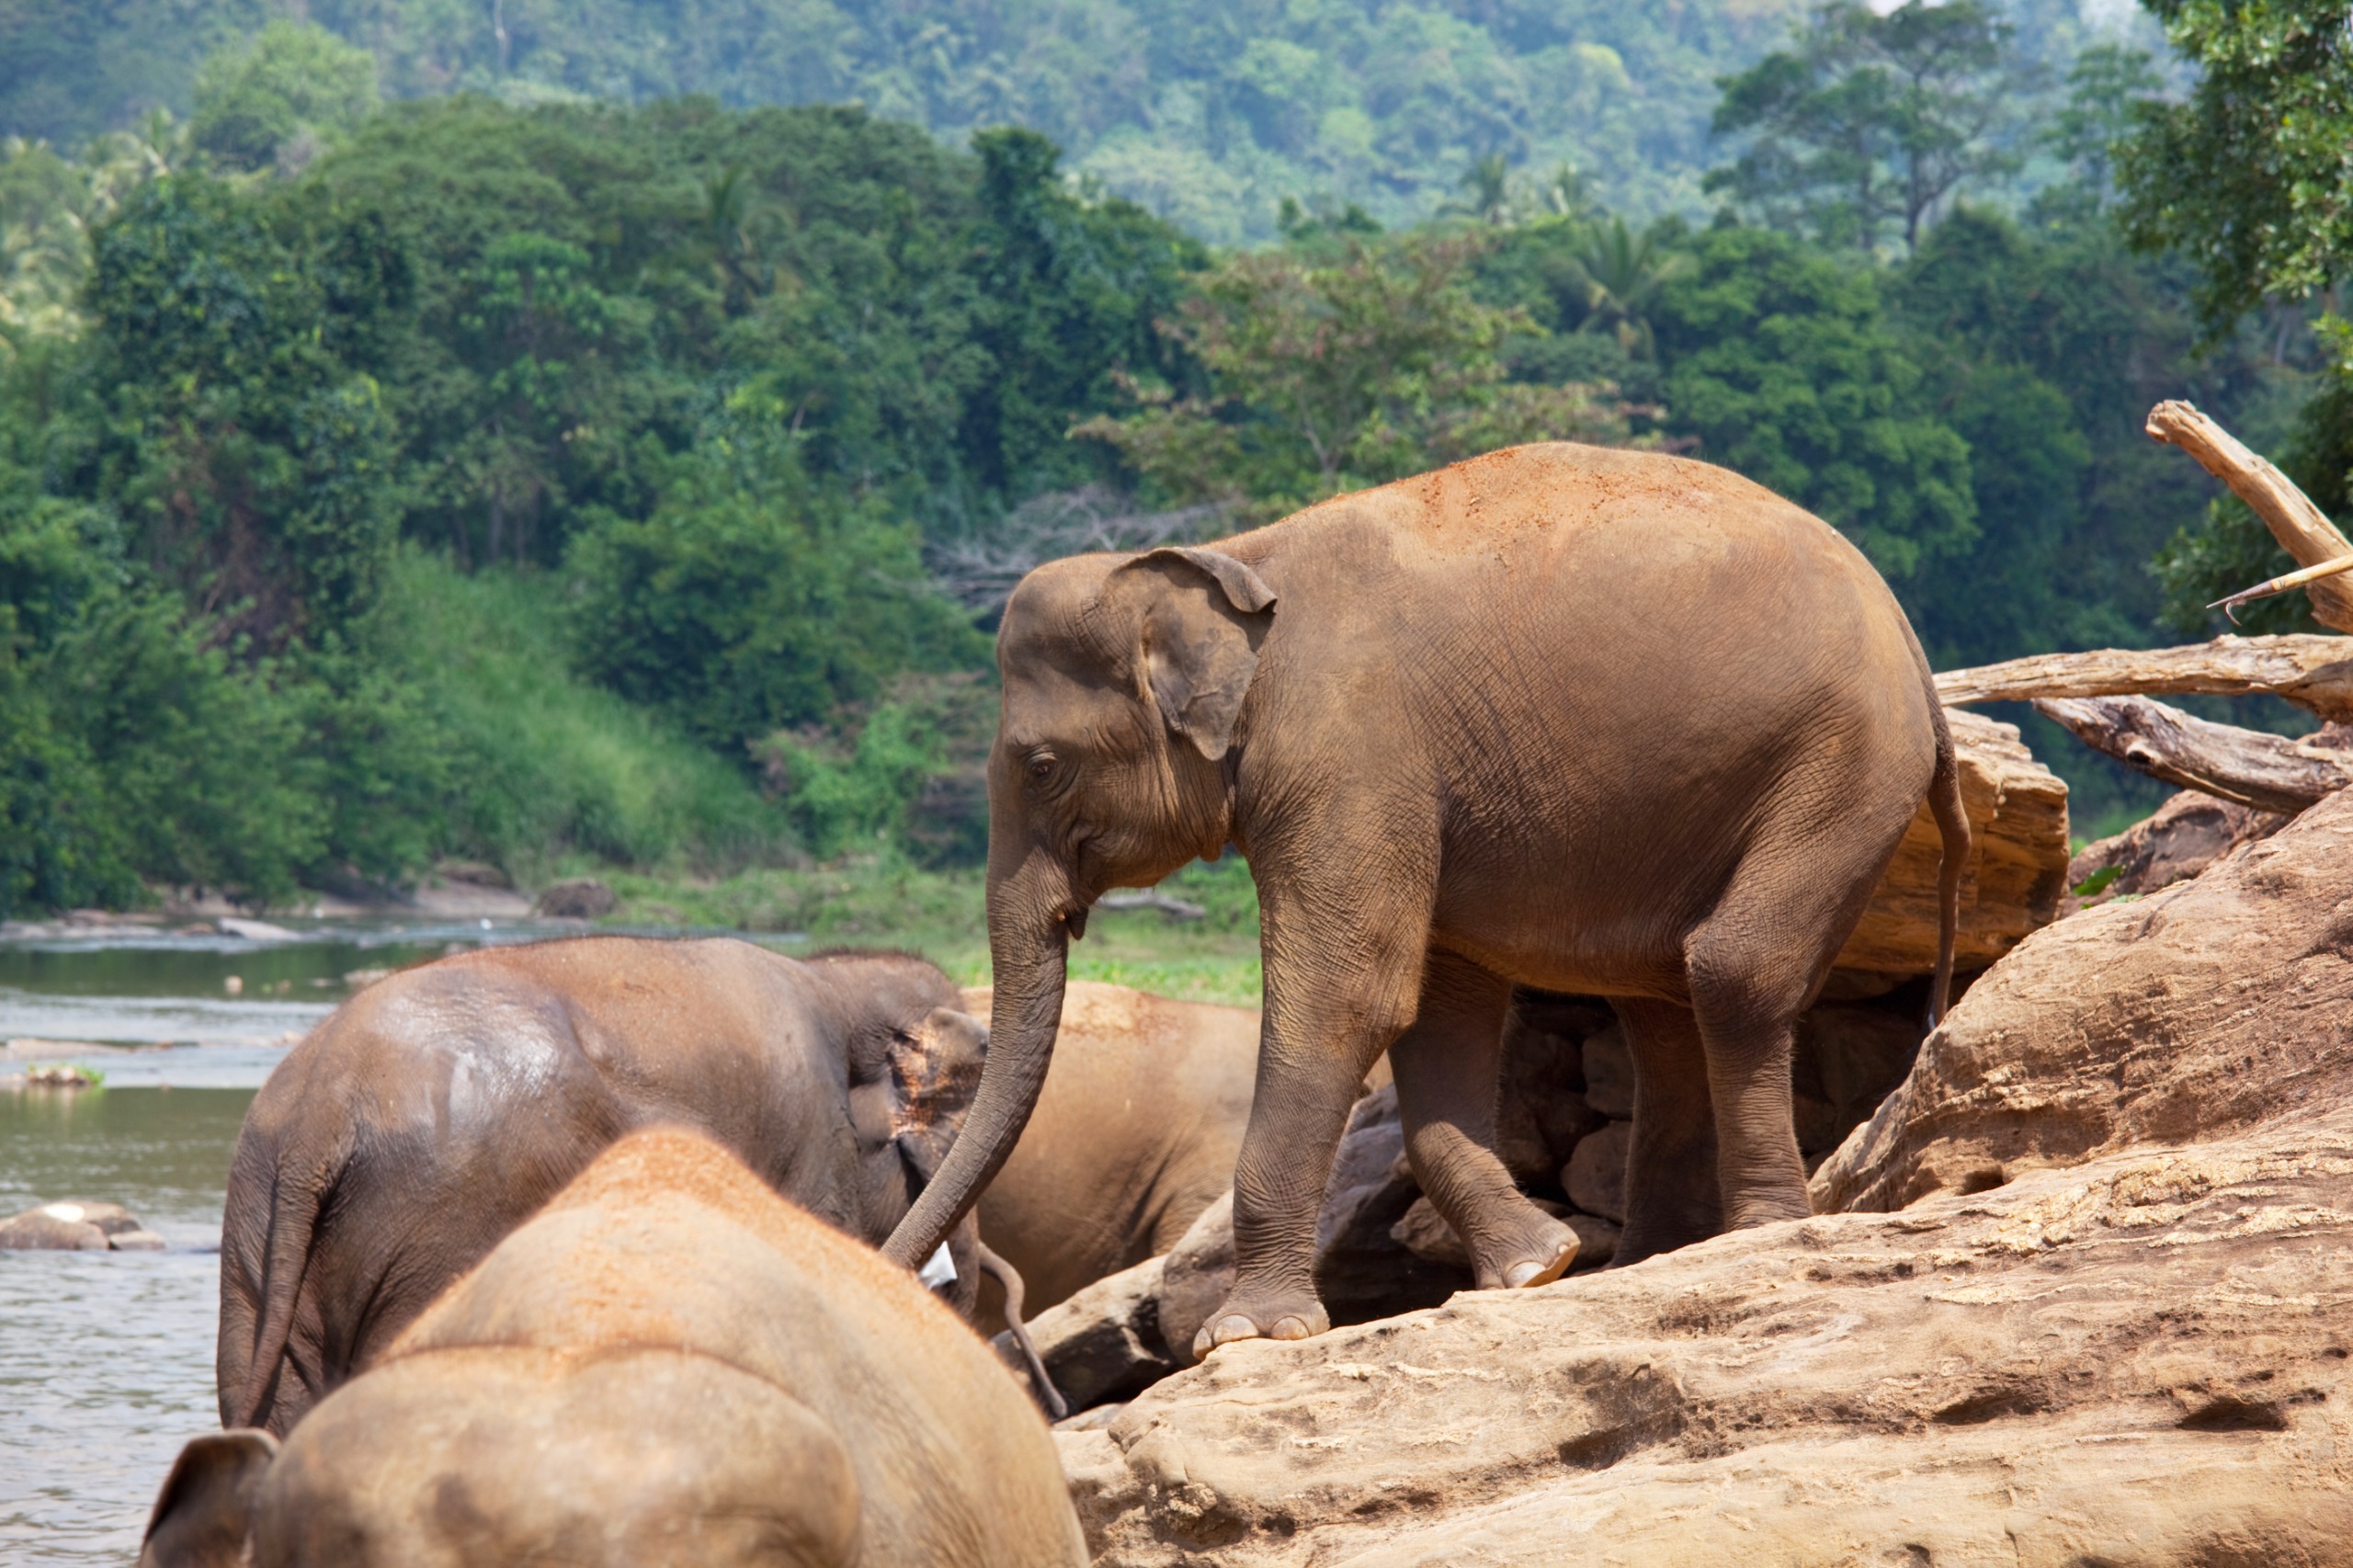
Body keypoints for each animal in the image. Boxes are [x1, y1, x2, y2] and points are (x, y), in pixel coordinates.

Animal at [882, 441, 1967, 1357]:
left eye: (1041, 766)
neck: (1232, 561)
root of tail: (1910, 639)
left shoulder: (1351, 751)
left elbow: (1348, 996)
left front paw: (1241, 1336)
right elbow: (1436, 1008)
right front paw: (1535, 1266)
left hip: (1840, 761)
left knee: (1730, 968)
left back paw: (1761, 1232)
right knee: (1663, 1006)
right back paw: (1640, 1262)